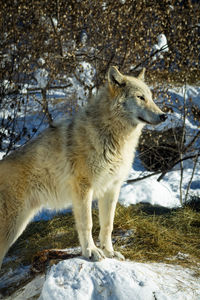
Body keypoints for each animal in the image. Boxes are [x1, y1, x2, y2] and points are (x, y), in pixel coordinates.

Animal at [0, 66, 166, 268]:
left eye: (151, 97)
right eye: (140, 97)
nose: (164, 115)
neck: (112, 137)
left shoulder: (112, 188)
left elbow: (108, 224)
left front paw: (110, 252)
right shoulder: (83, 188)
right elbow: (88, 224)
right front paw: (91, 252)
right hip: (11, 229)